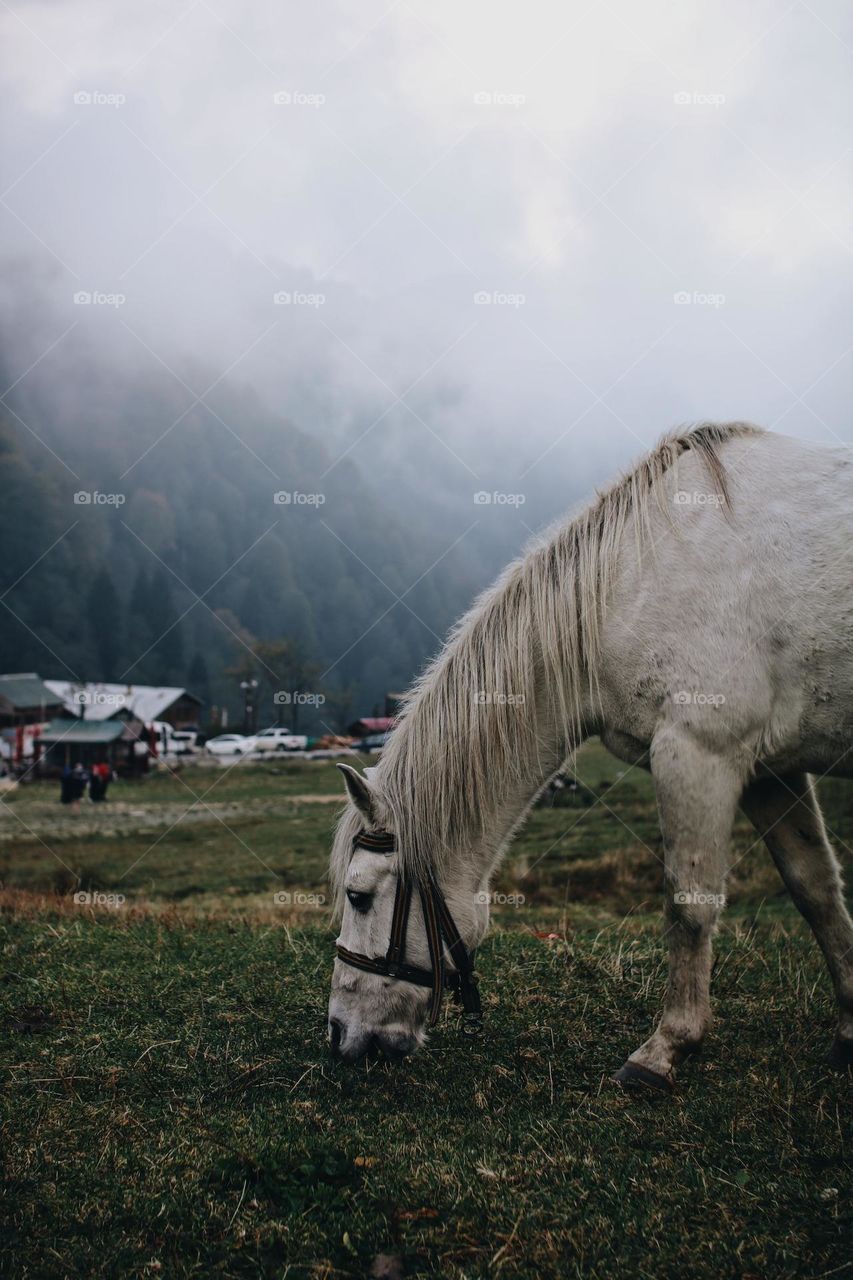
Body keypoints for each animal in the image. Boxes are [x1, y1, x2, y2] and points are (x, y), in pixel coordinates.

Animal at [327, 422, 853, 1090]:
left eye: (358, 896)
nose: (338, 1033)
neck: (632, 578)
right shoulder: (770, 772)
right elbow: (817, 890)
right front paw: (850, 1028)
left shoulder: (698, 752)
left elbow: (690, 904)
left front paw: (665, 1048)